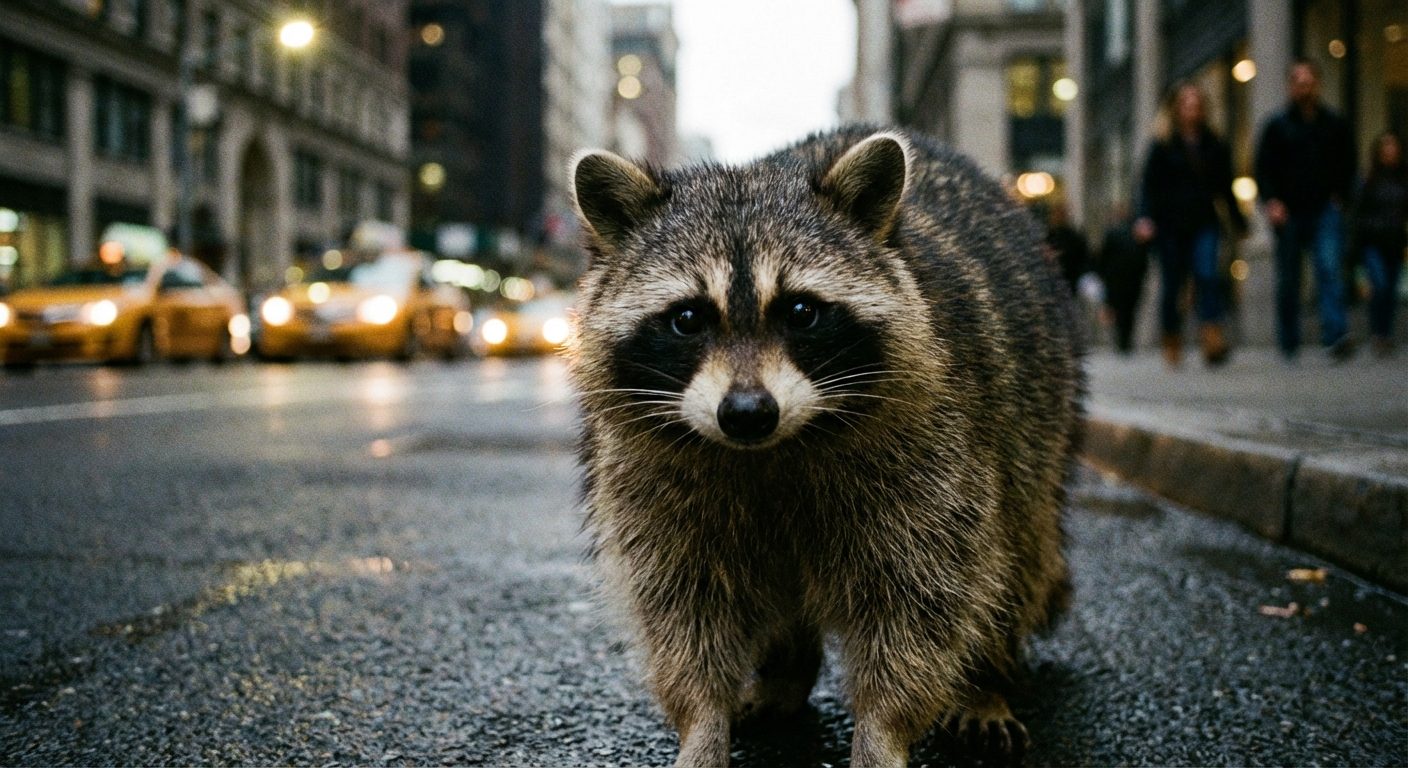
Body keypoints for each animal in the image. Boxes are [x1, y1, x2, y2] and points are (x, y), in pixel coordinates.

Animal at [567, 126, 1084, 767]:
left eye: (801, 311)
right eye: (687, 318)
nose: (747, 414)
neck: (769, 452)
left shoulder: (935, 453)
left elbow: (922, 602)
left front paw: (883, 731)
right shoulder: (647, 480)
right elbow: (683, 604)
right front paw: (702, 723)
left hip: (1037, 431)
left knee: (1013, 558)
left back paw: (985, 682)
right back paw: (785, 673)